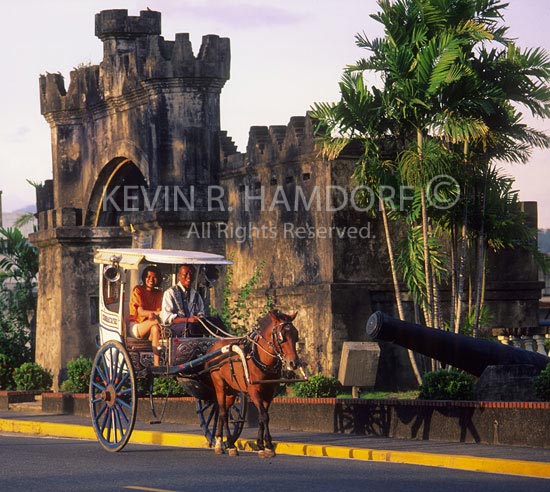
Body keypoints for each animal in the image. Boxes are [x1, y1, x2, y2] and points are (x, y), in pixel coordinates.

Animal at [206, 312, 302, 458]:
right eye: (281, 337)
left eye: (296, 334)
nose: (294, 363)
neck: (260, 357)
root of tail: (214, 346)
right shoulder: (254, 391)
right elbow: (264, 416)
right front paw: (267, 446)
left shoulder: (269, 392)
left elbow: (263, 417)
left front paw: (263, 445)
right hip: (219, 385)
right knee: (222, 413)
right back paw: (231, 445)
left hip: (231, 390)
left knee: (224, 411)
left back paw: (219, 442)